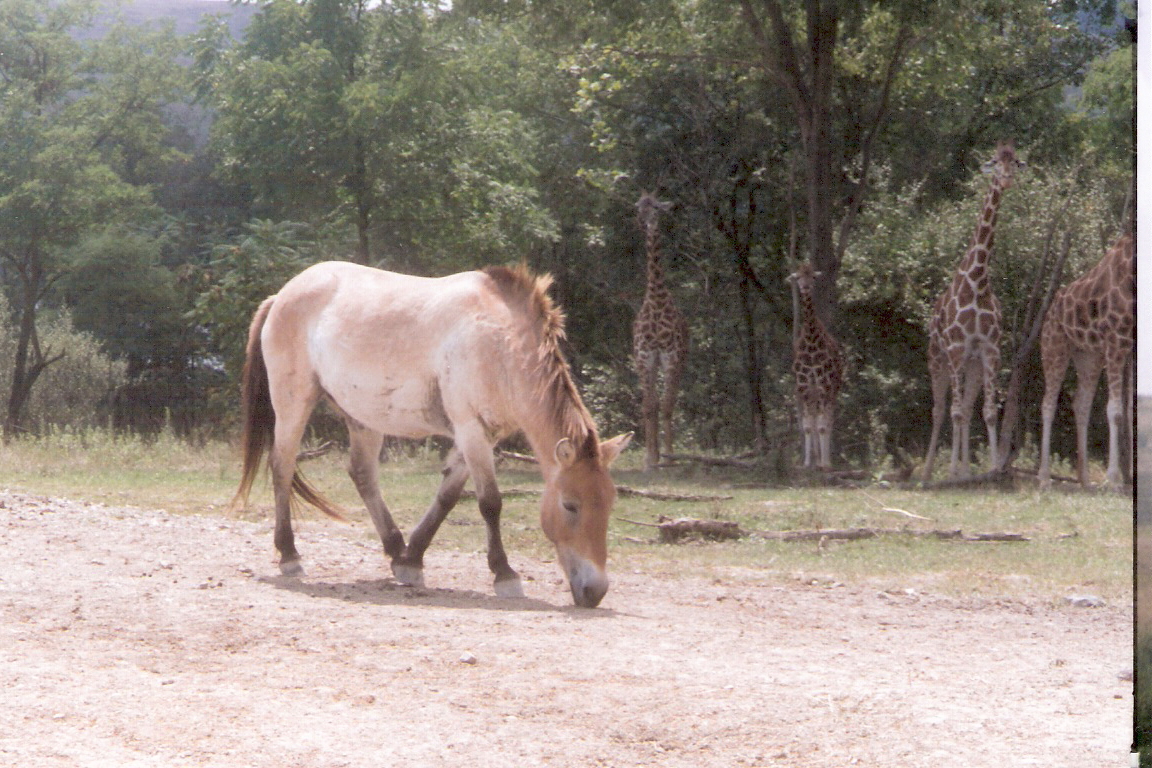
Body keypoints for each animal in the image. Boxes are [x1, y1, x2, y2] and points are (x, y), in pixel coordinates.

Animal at [232, 261, 631, 608]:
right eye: (570, 505)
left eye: (610, 503)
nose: (595, 591)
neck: (500, 341)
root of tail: (281, 296)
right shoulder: (471, 431)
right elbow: (490, 503)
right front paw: (504, 574)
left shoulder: (482, 437)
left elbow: (448, 497)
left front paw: (412, 561)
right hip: (293, 403)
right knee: (282, 467)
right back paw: (289, 555)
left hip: (363, 418)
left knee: (362, 475)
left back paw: (395, 549)